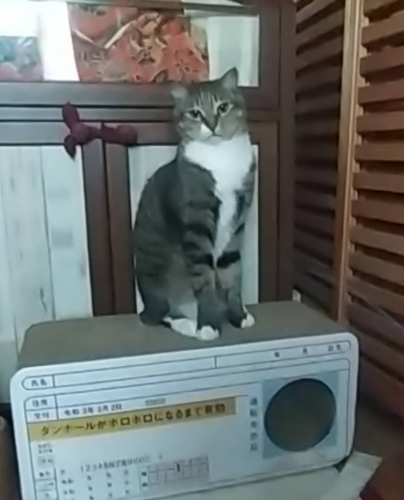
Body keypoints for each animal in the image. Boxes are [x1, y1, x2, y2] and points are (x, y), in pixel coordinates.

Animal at [133, 68, 256, 341]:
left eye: (222, 107)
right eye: (195, 113)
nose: (211, 124)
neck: (221, 156)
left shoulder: (238, 222)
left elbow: (232, 273)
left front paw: (239, 316)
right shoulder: (197, 224)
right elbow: (204, 277)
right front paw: (208, 325)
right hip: (160, 279)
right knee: (161, 313)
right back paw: (189, 325)